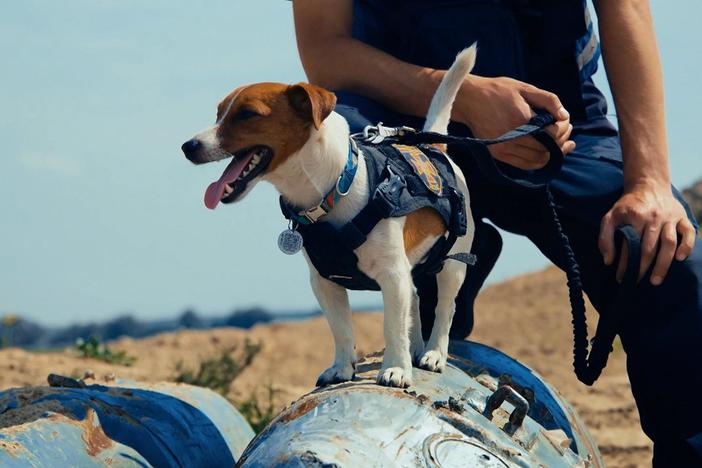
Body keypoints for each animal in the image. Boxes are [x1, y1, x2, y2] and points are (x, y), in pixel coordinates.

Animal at [182, 46, 478, 388]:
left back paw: (433, 354)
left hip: (453, 264)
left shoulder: (392, 275)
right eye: (218, 114)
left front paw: (396, 369)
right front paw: (342, 368)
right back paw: (415, 348)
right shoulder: (326, 282)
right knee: (414, 302)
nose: (188, 146)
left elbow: (391, 326)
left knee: (445, 308)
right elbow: (341, 329)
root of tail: (434, 145)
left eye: (247, 114)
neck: (332, 189)